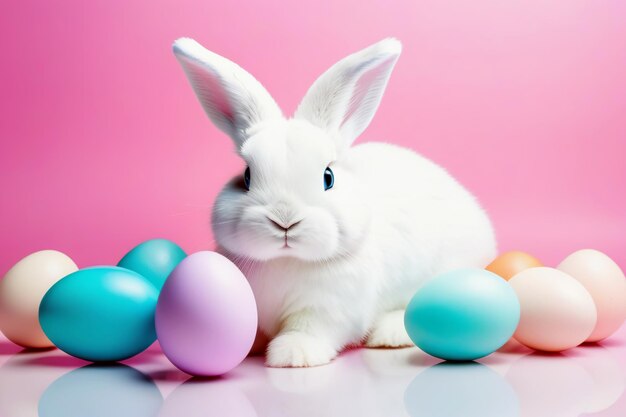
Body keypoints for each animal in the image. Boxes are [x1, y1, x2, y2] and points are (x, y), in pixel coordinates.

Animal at [173, 37, 494, 366]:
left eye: (328, 177)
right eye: (247, 176)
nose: (285, 219)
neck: (288, 260)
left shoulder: (328, 310)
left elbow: (308, 329)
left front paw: (293, 355)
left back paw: (390, 334)